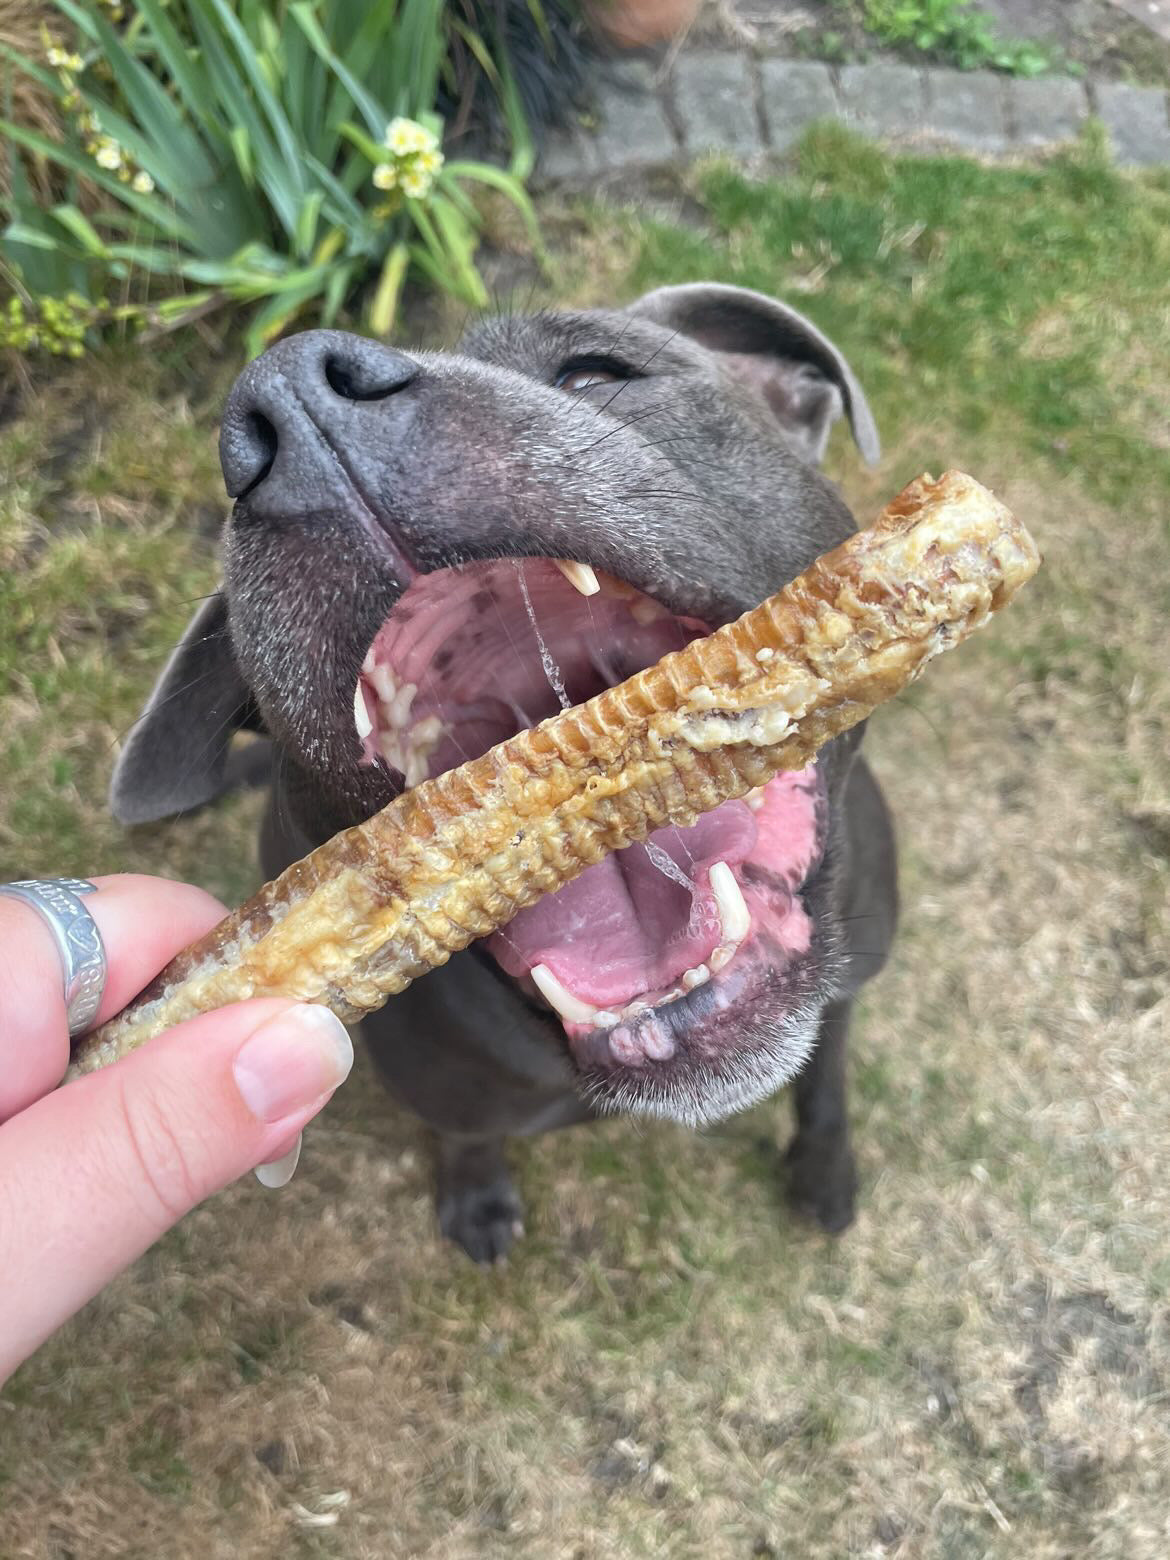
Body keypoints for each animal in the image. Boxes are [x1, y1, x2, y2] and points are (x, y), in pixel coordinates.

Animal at [109, 287, 898, 1260]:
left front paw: (825, 1166)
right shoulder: (450, 1092)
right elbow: (468, 1135)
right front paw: (477, 1200)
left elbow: (827, 1073)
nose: (288, 395)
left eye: (593, 373)